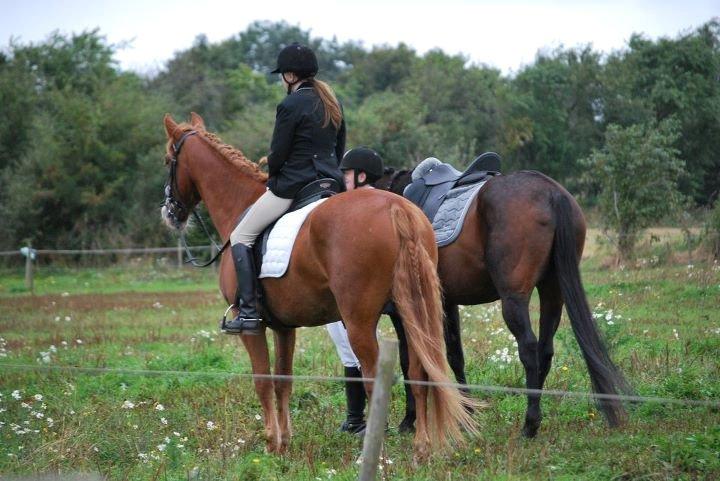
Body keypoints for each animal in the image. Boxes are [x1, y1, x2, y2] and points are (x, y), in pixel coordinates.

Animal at [160, 113, 476, 462]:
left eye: (168, 160)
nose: (169, 213)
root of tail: (398, 209)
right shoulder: (284, 327)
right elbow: (283, 380)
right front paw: (284, 442)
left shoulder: (252, 328)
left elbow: (263, 381)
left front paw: (270, 442)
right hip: (411, 312)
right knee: (419, 373)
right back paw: (421, 449)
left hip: (359, 322)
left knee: (374, 379)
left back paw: (373, 455)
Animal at [374, 167, 632, 436]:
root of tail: (551, 191)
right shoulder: (447, 303)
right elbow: (455, 355)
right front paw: (467, 412)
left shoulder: (405, 310)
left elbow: (409, 360)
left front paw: (409, 419)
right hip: (553, 293)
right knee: (545, 349)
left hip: (513, 299)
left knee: (529, 348)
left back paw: (529, 423)